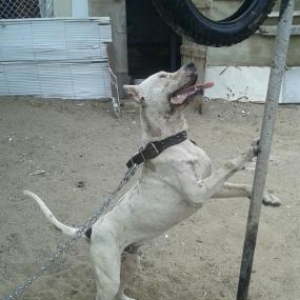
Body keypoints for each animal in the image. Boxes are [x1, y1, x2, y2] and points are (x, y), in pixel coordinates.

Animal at [24, 62, 280, 300]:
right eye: (163, 76)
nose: (190, 64)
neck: (171, 140)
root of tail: (91, 229)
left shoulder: (209, 187)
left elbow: (241, 185)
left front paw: (267, 197)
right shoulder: (197, 193)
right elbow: (229, 163)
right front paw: (251, 150)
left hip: (131, 261)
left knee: (120, 292)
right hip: (108, 277)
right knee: (107, 293)